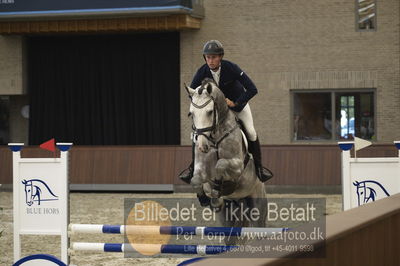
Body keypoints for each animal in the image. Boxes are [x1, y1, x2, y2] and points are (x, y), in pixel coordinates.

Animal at [186, 78, 268, 236]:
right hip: (227, 216)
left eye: (210, 112)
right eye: (191, 114)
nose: (202, 146)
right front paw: (206, 198)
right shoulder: (200, 168)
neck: (215, 137)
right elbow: (196, 179)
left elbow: (221, 164)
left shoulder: (238, 166)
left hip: (257, 207)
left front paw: (218, 191)